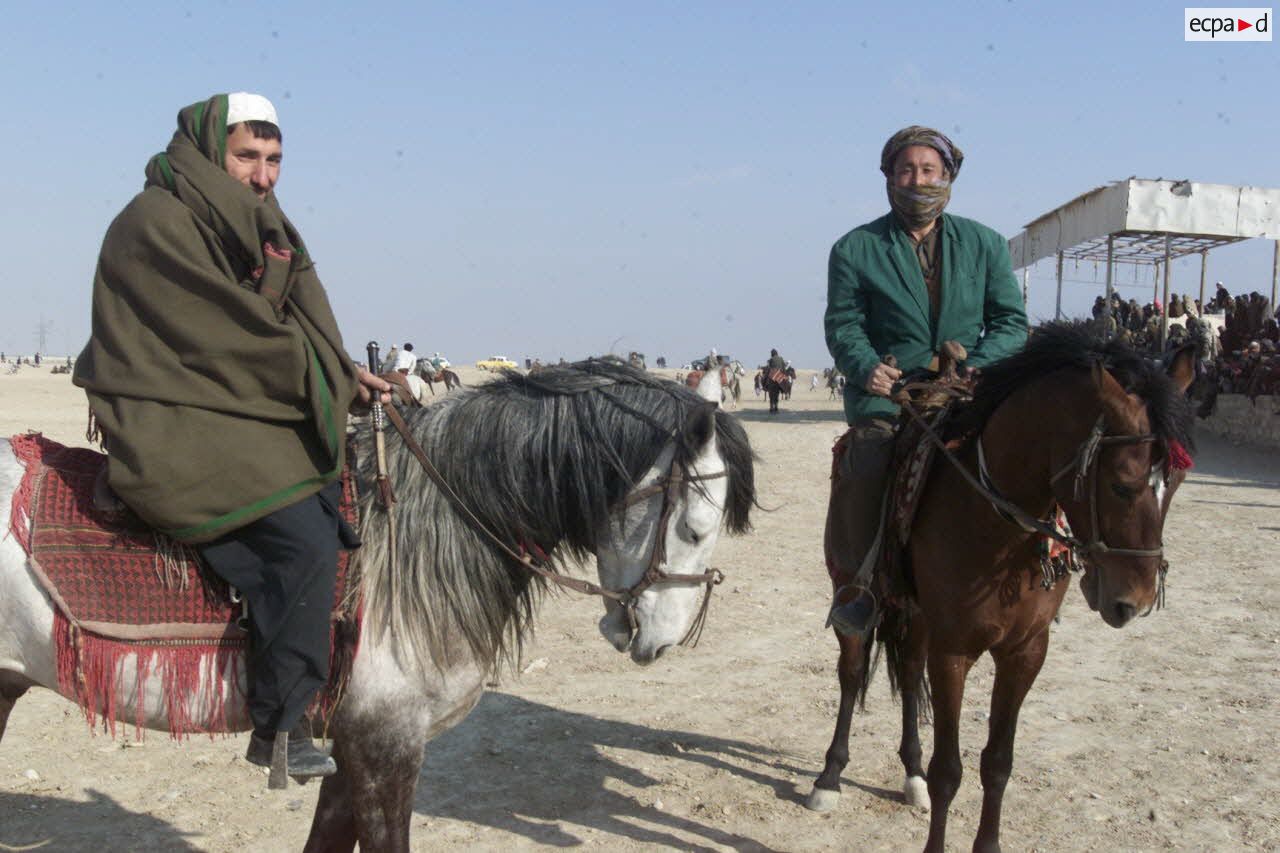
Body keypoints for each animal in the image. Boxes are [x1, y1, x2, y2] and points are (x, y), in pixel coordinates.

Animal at [808, 324, 1198, 850]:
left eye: (1175, 482)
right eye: (1122, 483)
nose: (1131, 602)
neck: (997, 528)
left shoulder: (1025, 651)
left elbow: (997, 762)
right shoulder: (954, 651)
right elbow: (948, 771)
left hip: (919, 615)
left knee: (908, 675)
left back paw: (910, 774)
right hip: (855, 594)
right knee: (851, 673)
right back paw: (829, 778)